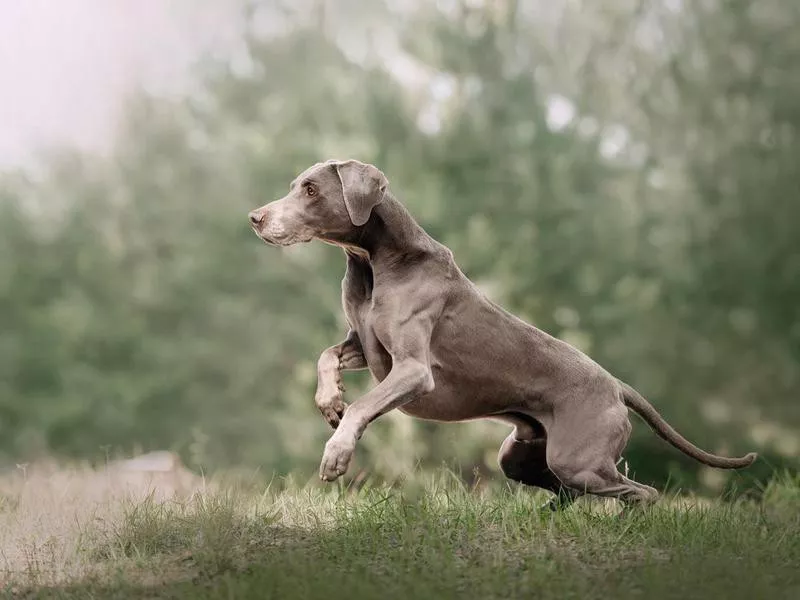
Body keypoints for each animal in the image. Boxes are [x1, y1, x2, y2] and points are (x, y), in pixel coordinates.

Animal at [248, 158, 756, 506]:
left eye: (310, 189)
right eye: (295, 186)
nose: (255, 217)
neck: (374, 259)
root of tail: (616, 386)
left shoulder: (412, 370)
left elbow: (362, 406)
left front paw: (336, 453)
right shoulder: (363, 343)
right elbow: (326, 355)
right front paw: (329, 401)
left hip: (579, 459)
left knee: (640, 493)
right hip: (524, 455)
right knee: (571, 492)